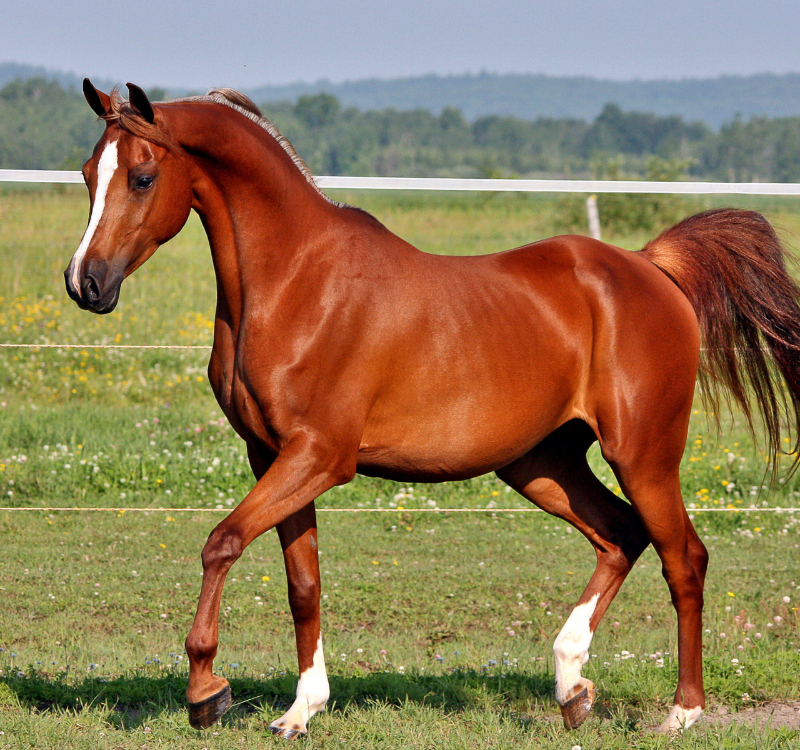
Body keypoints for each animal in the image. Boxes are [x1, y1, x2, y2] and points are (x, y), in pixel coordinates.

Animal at [65, 79, 800, 736]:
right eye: (87, 173)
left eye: (141, 178)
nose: (85, 284)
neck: (297, 280)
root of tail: (649, 267)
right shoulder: (271, 456)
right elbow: (303, 583)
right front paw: (301, 710)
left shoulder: (319, 457)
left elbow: (221, 543)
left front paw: (206, 692)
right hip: (541, 464)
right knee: (620, 535)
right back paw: (571, 686)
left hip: (643, 455)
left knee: (684, 559)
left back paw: (683, 712)